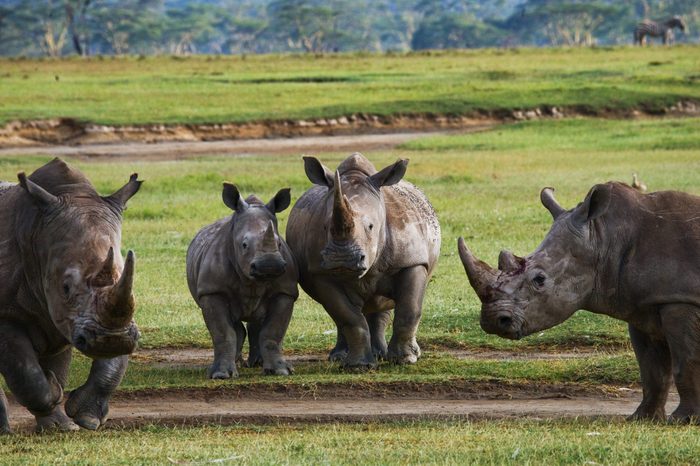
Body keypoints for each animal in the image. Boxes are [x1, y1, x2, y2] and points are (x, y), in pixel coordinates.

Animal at [0, 157, 142, 434]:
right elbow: (26, 373)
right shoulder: (5, 314)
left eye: (126, 274)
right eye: (65, 287)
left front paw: (83, 419)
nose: (110, 340)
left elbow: (113, 364)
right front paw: (57, 408)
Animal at [186, 182, 298, 378]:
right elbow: (223, 333)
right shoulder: (212, 290)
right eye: (244, 245)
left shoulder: (285, 290)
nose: (269, 265)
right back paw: (237, 362)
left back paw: (257, 363)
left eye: (279, 244)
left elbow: (273, 331)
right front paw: (221, 374)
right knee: (235, 327)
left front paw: (280, 371)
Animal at [286, 153, 440, 368]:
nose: (341, 258)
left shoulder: (411, 261)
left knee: (382, 303)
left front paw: (405, 359)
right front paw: (358, 366)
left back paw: (385, 354)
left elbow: (409, 309)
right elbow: (348, 316)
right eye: (325, 227)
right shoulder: (320, 273)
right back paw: (340, 357)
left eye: (371, 226)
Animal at [460, 181, 700, 422]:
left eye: (539, 279)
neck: (605, 237)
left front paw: (684, 420)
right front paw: (642, 419)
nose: (493, 321)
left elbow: (686, 362)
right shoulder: (642, 304)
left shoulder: (680, 300)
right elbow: (652, 369)